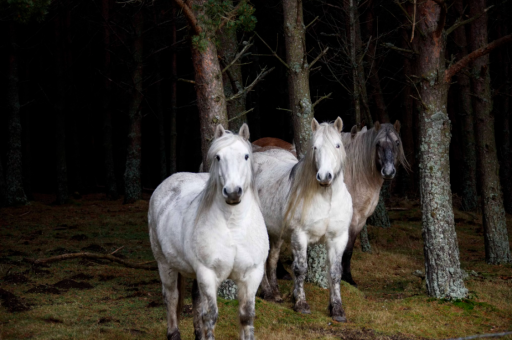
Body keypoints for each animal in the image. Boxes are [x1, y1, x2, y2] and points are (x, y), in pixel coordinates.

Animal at [148, 124, 268, 340]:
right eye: (218, 157)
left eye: (246, 156)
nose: (233, 192)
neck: (234, 227)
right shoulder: (208, 274)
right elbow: (211, 316)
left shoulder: (251, 276)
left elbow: (246, 317)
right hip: (165, 264)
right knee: (171, 297)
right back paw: (173, 333)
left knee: (196, 297)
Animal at [250, 121, 406, 286]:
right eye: (378, 144)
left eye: (397, 142)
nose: (388, 172)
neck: (354, 176)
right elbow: (344, 250)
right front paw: (345, 277)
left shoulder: (360, 221)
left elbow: (349, 250)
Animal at [253, 118, 356, 322]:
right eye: (315, 147)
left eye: (337, 145)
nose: (324, 177)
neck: (327, 198)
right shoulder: (299, 236)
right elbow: (300, 269)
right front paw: (300, 304)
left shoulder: (338, 238)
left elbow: (335, 273)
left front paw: (337, 310)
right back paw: (267, 292)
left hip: (276, 233)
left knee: (272, 258)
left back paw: (275, 293)